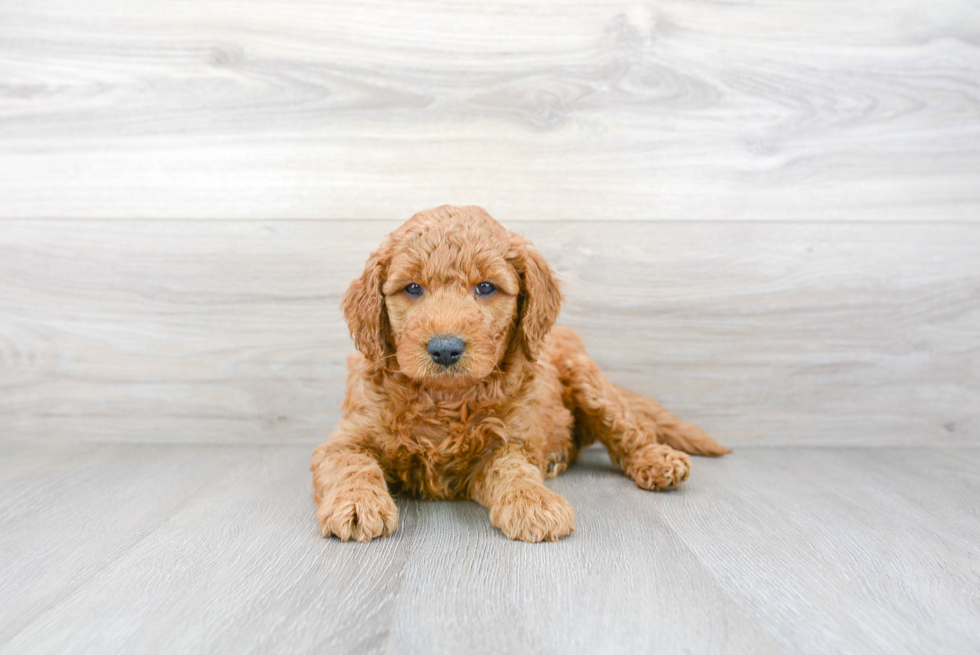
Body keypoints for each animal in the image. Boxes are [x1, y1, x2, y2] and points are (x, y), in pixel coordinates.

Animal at [312, 205, 728, 544]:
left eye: (485, 287)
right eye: (412, 288)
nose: (445, 348)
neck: (445, 399)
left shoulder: (507, 440)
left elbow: (514, 469)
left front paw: (533, 503)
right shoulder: (346, 437)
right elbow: (352, 464)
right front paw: (356, 504)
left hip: (587, 378)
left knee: (627, 427)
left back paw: (656, 460)